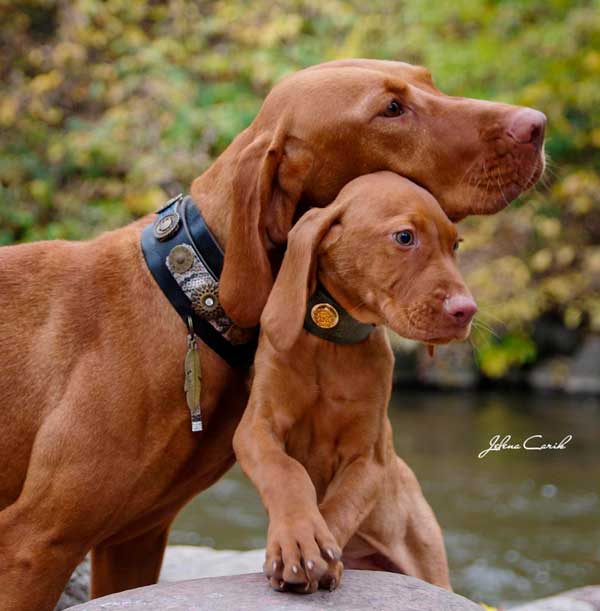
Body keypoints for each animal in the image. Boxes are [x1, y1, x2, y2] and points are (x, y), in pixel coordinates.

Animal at [234, 172, 474, 592]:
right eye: (405, 237)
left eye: (455, 244)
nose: (467, 310)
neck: (332, 343)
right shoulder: (256, 427)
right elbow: (287, 472)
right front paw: (298, 539)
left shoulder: (369, 459)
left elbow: (338, 507)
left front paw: (312, 550)